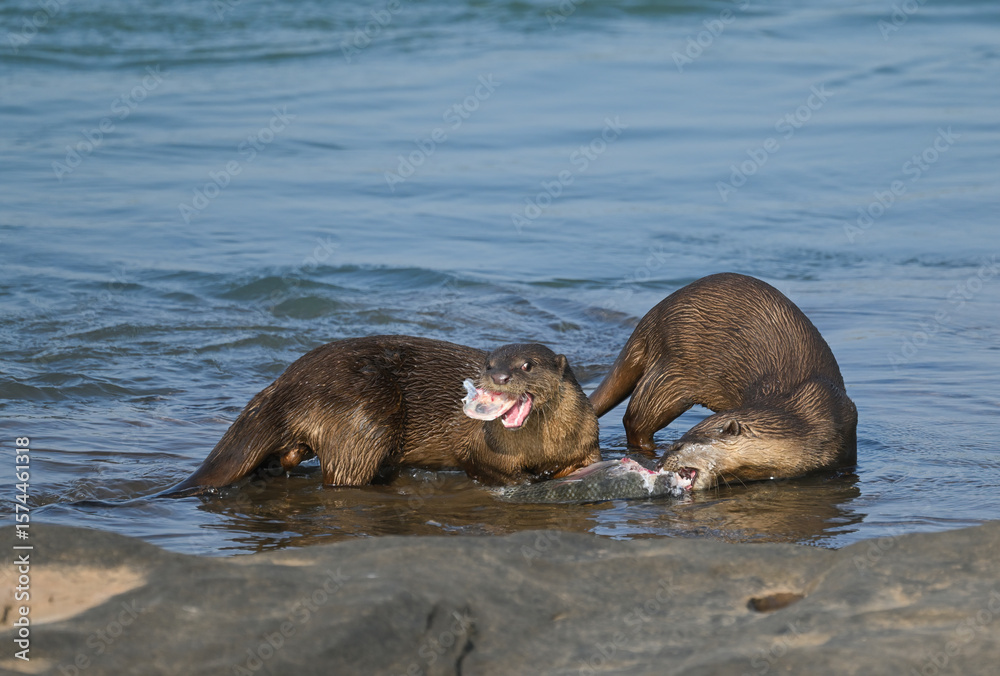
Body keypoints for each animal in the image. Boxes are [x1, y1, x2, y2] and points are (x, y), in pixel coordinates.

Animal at [170, 335, 600, 492]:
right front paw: (527, 480)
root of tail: (287, 383)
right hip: (364, 419)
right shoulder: (475, 444)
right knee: (343, 475)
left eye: (527, 365)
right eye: (489, 362)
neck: (539, 448)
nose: (499, 375)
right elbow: (478, 463)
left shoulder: (587, 442)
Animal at [589, 273, 857, 490]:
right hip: (671, 377)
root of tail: (653, 315)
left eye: (678, 447)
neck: (808, 421)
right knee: (635, 420)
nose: (661, 462)